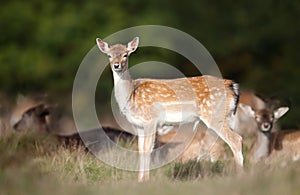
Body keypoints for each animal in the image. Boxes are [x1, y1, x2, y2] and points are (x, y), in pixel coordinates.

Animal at [96, 37, 244, 181]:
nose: (116, 65)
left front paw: (146, 180)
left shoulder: (151, 119)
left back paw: (239, 176)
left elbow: (148, 149)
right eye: (109, 55)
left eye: (125, 55)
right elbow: (140, 149)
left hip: (214, 114)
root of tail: (233, 86)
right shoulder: (138, 125)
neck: (131, 95)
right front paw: (139, 180)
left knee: (236, 139)